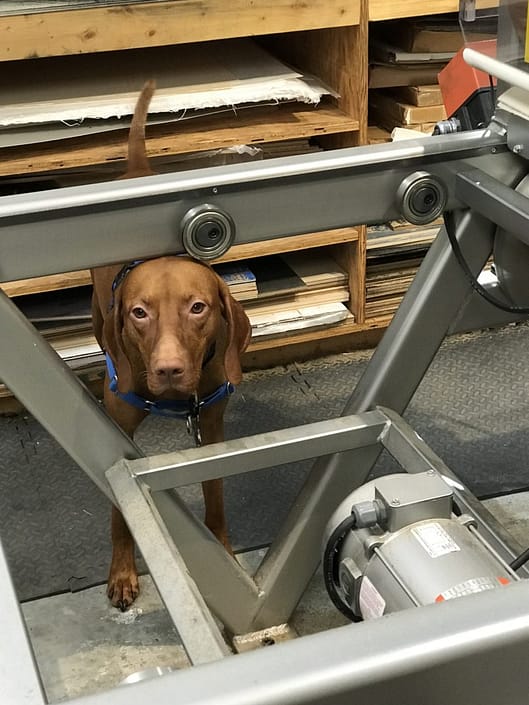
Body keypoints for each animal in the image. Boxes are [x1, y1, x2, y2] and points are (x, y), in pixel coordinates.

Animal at [89, 81, 251, 612]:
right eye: (139, 313)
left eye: (197, 307)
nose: (168, 370)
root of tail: (137, 170)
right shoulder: (117, 433)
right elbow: (120, 511)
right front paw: (122, 572)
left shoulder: (213, 427)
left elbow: (215, 495)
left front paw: (225, 553)